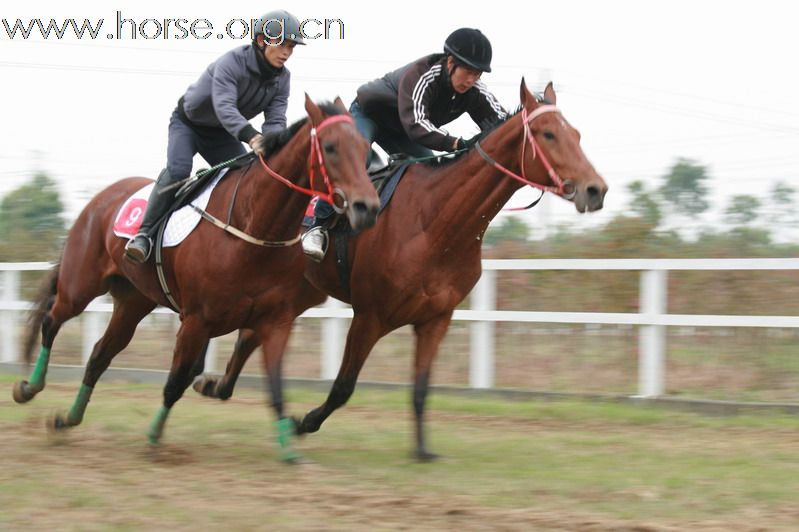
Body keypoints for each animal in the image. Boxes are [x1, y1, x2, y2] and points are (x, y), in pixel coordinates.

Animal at [12, 96, 382, 462]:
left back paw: (67, 419)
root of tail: (102, 198)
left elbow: (276, 385)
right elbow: (176, 381)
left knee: (99, 355)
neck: (254, 229)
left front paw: (290, 450)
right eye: (331, 147)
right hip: (80, 285)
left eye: (365, 147)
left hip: (133, 302)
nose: (368, 207)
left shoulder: (276, 321)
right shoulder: (196, 321)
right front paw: (154, 437)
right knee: (51, 320)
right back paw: (29, 387)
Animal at [197, 80, 608, 462]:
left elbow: (422, 388)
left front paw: (423, 450)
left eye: (576, 134)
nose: (596, 190)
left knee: (249, 335)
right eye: (548, 134)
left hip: (299, 291)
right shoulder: (370, 315)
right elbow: (344, 386)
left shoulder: (436, 319)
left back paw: (215, 385)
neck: (436, 224)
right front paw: (303, 422)